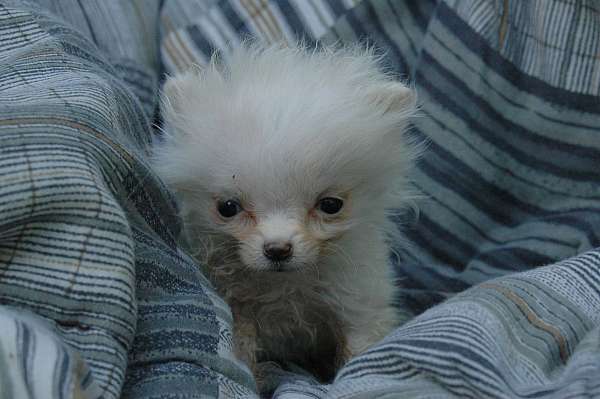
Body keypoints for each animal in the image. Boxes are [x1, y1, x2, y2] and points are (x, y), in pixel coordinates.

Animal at [152, 42, 420, 386]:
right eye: (228, 208)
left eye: (331, 205)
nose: (277, 250)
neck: (286, 288)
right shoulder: (240, 310)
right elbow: (243, 348)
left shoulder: (359, 301)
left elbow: (360, 346)